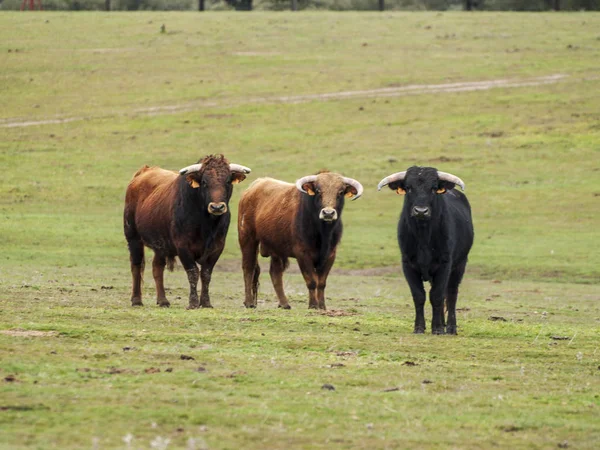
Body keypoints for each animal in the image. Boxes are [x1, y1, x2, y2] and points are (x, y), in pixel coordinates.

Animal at [124, 155, 251, 310]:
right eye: (204, 182)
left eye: (227, 181)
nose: (217, 207)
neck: (206, 224)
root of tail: (143, 172)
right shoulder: (183, 247)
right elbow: (193, 272)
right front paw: (193, 303)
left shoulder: (217, 247)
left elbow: (206, 274)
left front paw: (206, 303)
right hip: (133, 237)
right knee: (136, 265)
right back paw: (136, 300)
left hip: (160, 245)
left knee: (157, 268)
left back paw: (163, 300)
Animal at [238, 171, 360, 310]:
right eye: (318, 191)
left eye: (340, 192)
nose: (328, 213)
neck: (322, 233)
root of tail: (252, 189)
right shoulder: (302, 254)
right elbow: (312, 281)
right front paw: (313, 305)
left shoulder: (330, 255)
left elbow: (321, 283)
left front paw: (322, 306)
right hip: (247, 239)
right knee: (248, 268)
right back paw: (249, 302)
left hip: (276, 249)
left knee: (275, 273)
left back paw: (284, 303)